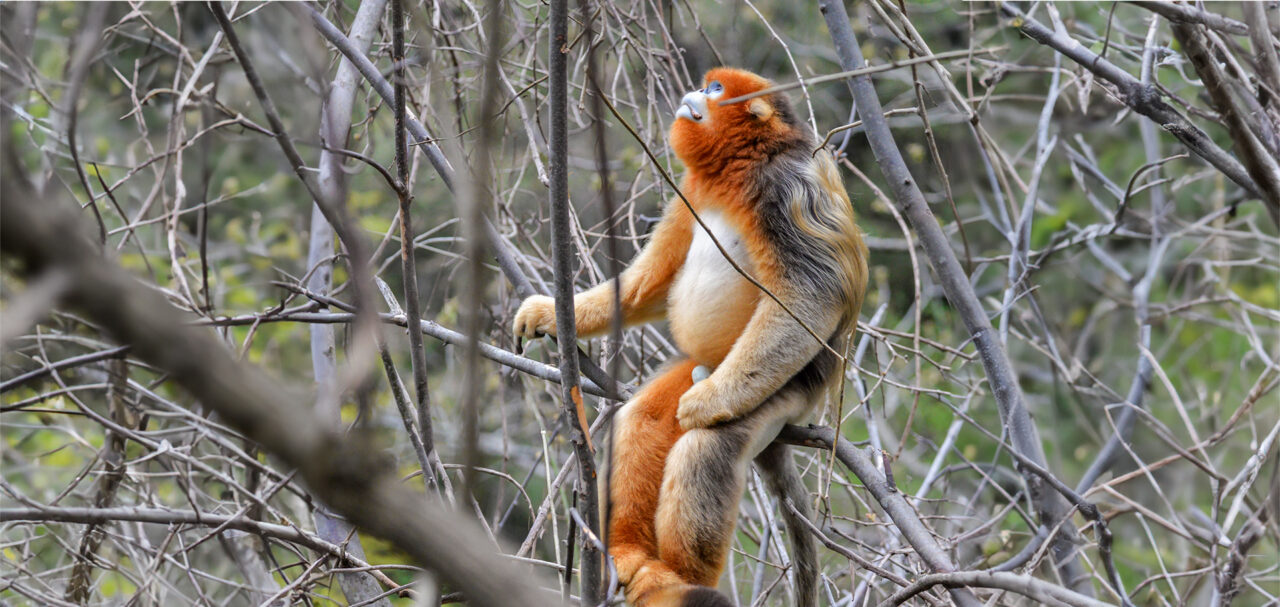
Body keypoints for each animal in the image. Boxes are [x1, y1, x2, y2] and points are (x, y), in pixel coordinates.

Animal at [513, 68, 867, 607]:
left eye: (716, 90)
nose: (697, 92)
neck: (741, 166)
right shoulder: (691, 191)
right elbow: (654, 280)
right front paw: (552, 313)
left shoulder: (789, 186)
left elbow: (812, 293)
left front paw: (708, 404)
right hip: (701, 367)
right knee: (643, 418)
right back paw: (631, 554)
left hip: (784, 390)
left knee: (705, 451)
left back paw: (680, 579)